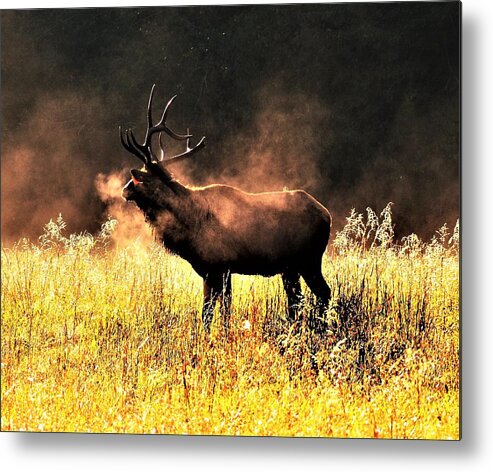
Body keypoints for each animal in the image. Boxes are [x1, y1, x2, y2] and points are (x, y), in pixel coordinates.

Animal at [120, 85, 330, 336]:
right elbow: (213, 310)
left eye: (141, 179)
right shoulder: (211, 270)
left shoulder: (220, 266)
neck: (191, 226)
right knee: (296, 300)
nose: (124, 190)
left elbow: (217, 310)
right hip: (291, 268)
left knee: (323, 293)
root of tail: (327, 215)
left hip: (309, 259)